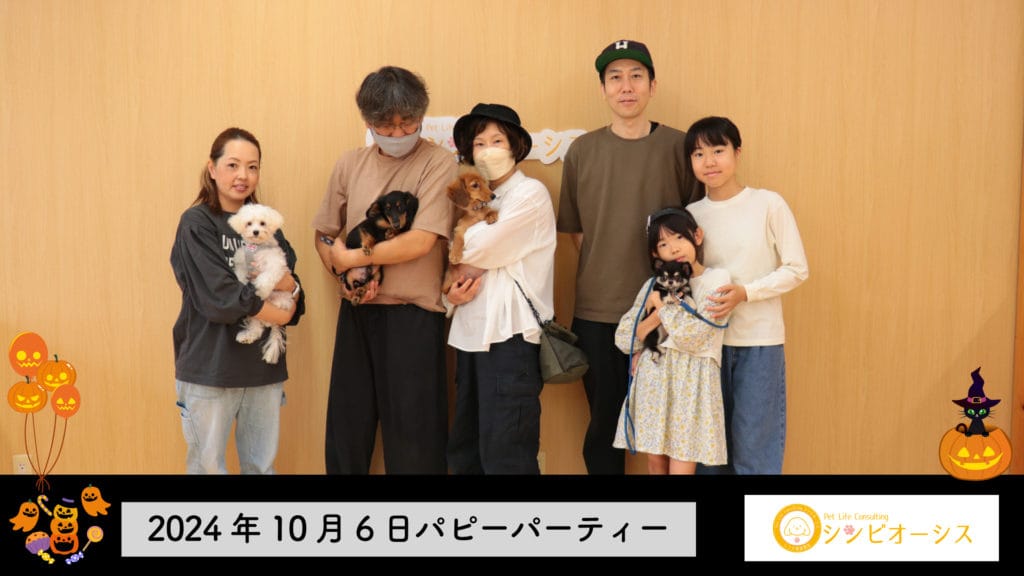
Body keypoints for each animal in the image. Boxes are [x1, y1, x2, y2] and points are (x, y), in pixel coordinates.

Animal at [227, 203, 293, 364]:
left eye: (263, 223)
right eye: (249, 223)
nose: (256, 231)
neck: (256, 248)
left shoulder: (274, 264)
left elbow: (266, 277)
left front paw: (261, 289)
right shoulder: (242, 263)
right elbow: (240, 274)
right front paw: (242, 282)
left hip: (282, 300)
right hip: (256, 315)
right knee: (257, 328)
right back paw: (247, 336)